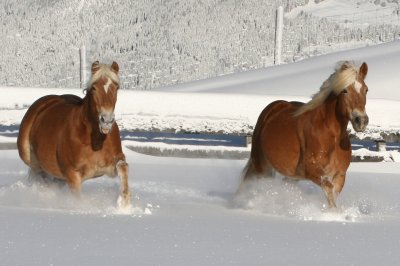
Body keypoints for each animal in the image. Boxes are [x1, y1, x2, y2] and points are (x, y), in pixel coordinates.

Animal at [17, 61, 130, 207]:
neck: (94, 139)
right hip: (33, 163)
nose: (106, 120)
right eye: (94, 88)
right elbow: (78, 199)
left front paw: (124, 204)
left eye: (116, 87)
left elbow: (123, 167)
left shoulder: (110, 166)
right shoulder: (72, 175)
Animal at [239, 60, 370, 208]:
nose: (361, 121)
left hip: (291, 175)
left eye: (366, 90)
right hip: (260, 164)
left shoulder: (340, 175)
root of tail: (272, 108)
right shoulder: (312, 171)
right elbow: (329, 190)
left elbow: (333, 195)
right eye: (344, 90)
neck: (331, 136)